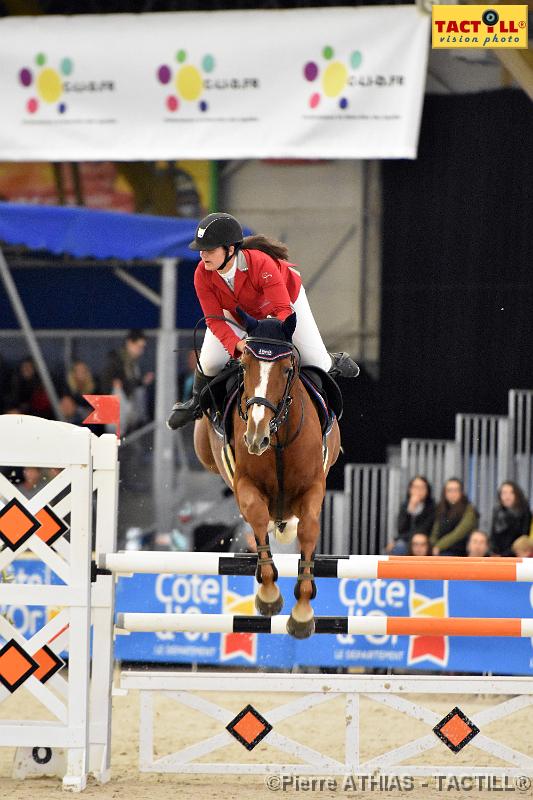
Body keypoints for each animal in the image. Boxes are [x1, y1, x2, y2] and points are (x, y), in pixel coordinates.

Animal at [194, 308, 340, 636]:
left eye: (287, 370)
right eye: (245, 367)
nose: (255, 437)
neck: (279, 440)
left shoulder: (313, 487)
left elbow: (309, 529)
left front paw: (302, 612)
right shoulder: (245, 486)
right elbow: (258, 517)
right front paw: (269, 595)